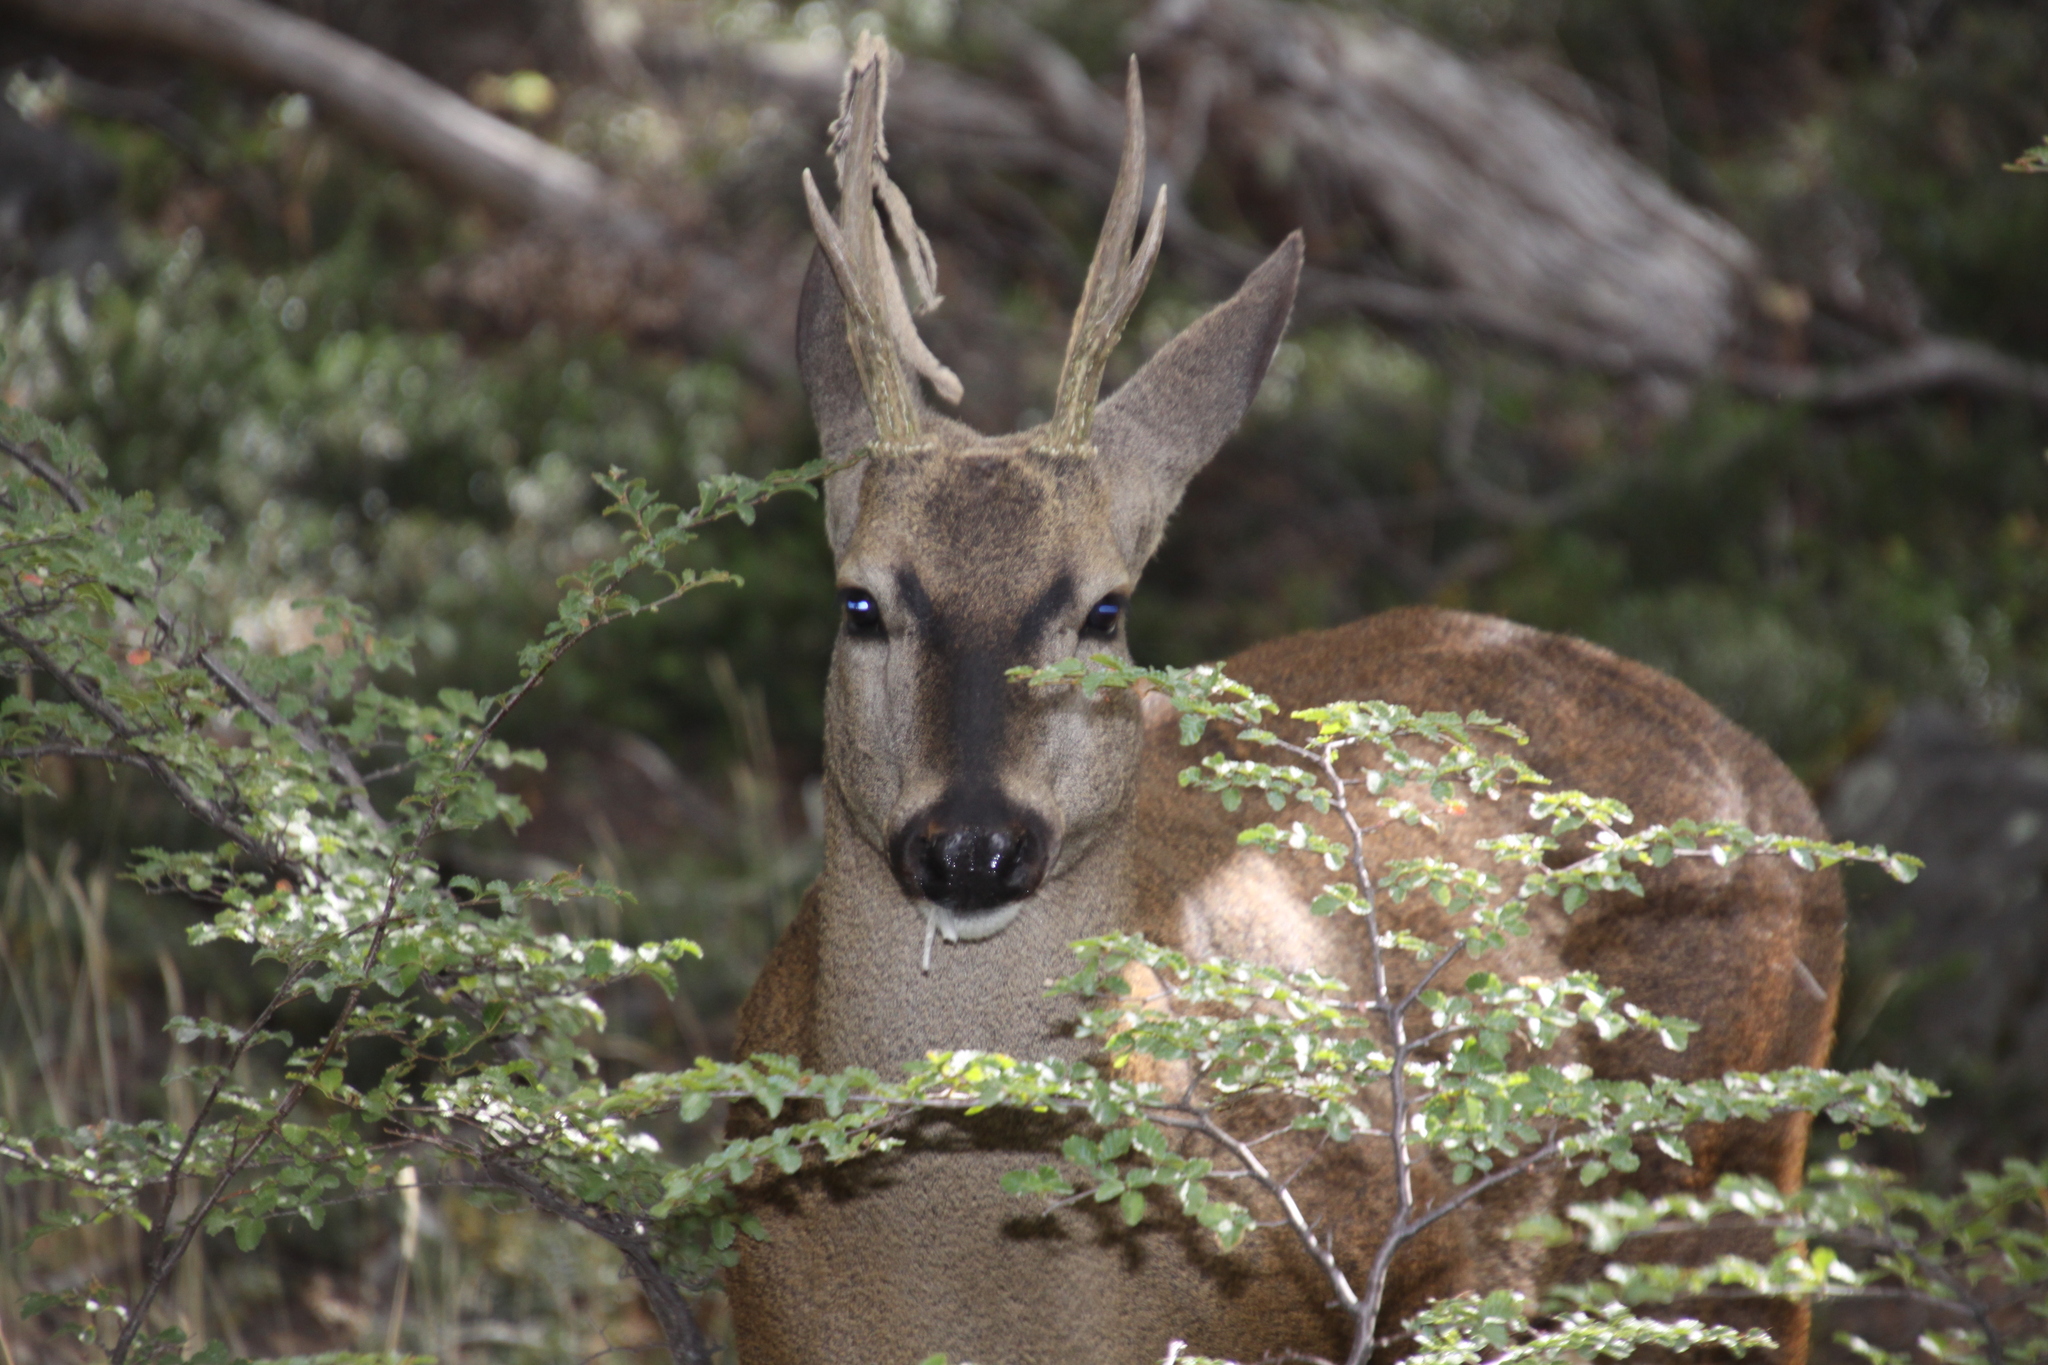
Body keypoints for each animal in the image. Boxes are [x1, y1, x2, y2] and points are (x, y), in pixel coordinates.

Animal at [729, 37, 1851, 1365]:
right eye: (860, 602)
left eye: (1104, 609)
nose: (970, 845)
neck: (964, 1281)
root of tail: (1769, 781)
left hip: (1731, 1181)